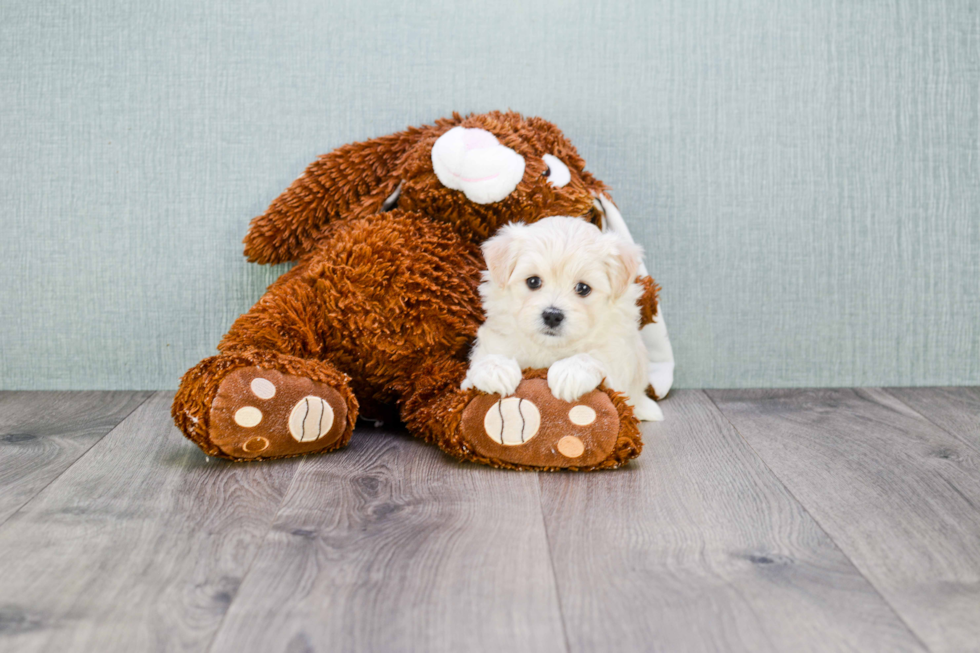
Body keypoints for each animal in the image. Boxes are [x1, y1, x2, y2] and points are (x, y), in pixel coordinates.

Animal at [462, 214, 668, 418]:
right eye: (533, 281)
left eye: (583, 288)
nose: (552, 316)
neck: (549, 347)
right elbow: (484, 362)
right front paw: (495, 369)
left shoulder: (617, 359)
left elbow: (595, 358)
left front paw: (571, 372)